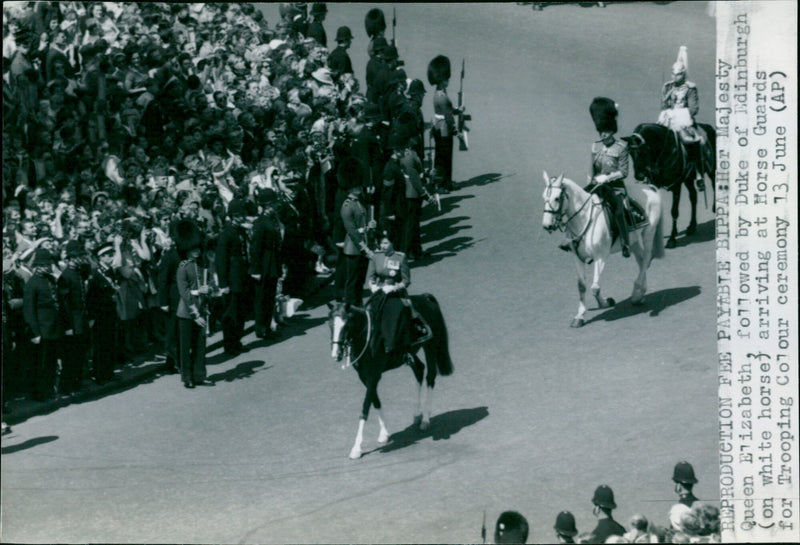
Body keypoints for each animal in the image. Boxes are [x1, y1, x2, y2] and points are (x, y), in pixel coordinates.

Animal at [326, 294, 454, 460]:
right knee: (419, 370)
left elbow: (365, 408)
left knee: (430, 377)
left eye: (346, 325)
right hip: (412, 354)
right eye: (330, 324)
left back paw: (425, 419)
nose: (336, 354)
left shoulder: (374, 375)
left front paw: (356, 448)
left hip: (430, 347)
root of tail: (425, 297)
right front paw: (384, 434)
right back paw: (417, 414)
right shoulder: (364, 376)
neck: (368, 337)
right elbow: (376, 402)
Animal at [540, 170, 664, 326]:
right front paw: (580, 315)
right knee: (642, 262)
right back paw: (641, 293)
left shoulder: (601, 257)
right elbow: (582, 286)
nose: (547, 225)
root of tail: (650, 188)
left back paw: (636, 294)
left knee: (646, 258)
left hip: (648, 235)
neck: (584, 218)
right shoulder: (577, 257)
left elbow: (595, 288)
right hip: (634, 242)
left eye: (557, 198)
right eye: (544, 197)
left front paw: (604, 303)